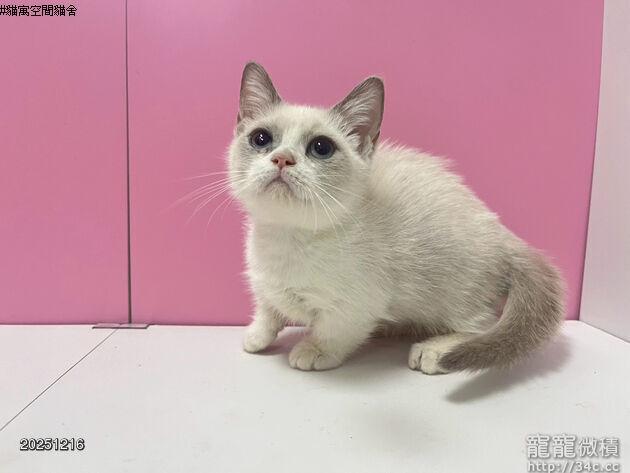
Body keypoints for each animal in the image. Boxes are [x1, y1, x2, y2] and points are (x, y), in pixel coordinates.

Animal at [227, 62, 565, 374]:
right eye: (261, 139)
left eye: (321, 147)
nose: (282, 159)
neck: (286, 237)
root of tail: (502, 232)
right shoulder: (264, 283)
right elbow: (267, 309)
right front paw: (257, 336)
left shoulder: (359, 304)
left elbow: (334, 331)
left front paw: (314, 350)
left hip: (455, 291)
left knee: (482, 326)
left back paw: (434, 351)